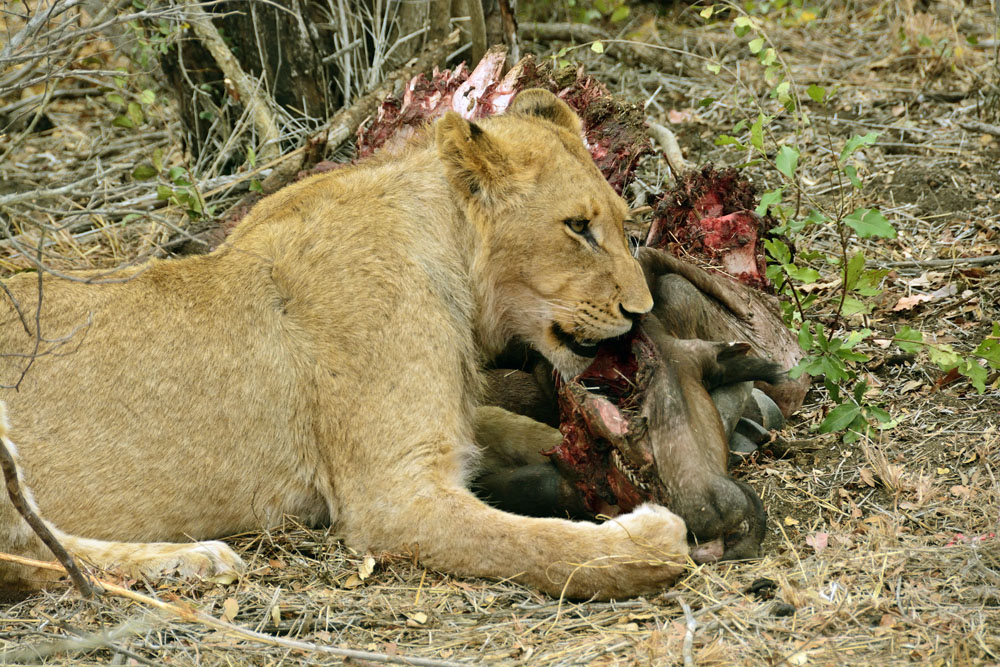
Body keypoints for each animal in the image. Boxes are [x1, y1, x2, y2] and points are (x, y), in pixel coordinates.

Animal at [0, 90, 690, 600]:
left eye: (624, 224)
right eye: (577, 227)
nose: (641, 314)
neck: (450, 259)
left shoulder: (445, 422)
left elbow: (508, 423)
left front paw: (599, 456)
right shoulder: (390, 498)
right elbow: (536, 545)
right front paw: (651, 541)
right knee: (29, 551)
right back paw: (193, 561)